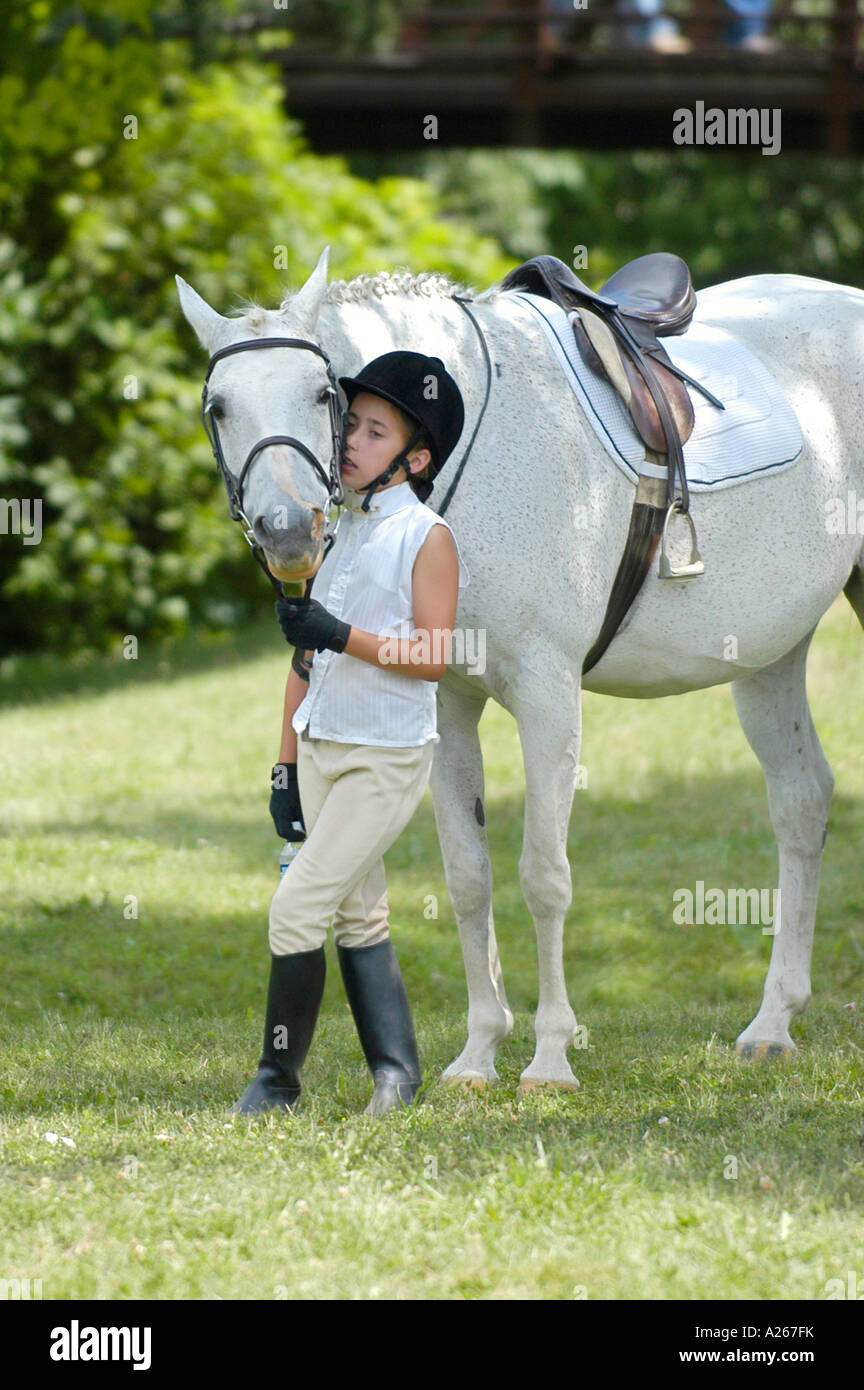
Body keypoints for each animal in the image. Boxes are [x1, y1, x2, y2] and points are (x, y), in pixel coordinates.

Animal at [177, 246, 864, 1093]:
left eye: (322, 392)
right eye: (218, 408)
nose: (287, 533)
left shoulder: (547, 695)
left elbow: (544, 874)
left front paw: (550, 1058)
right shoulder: (446, 703)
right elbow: (470, 877)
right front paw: (478, 1054)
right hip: (771, 655)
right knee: (802, 802)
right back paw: (773, 1023)